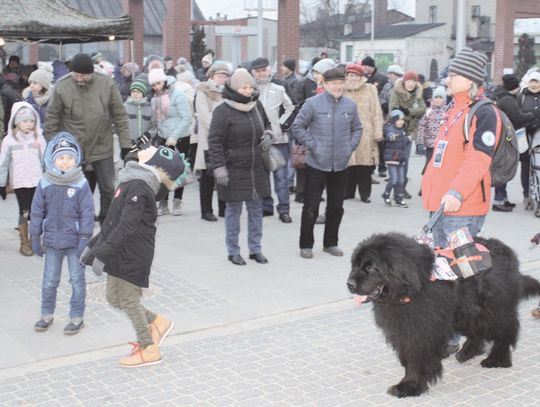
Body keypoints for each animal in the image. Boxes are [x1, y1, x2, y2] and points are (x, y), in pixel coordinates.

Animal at [346, 233, 540, 398]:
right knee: (478, 330)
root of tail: (507, 251)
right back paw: (467, 352)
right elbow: (409, 358)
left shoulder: (420, 331)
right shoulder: (405, 331)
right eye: (354, 265)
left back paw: (497, 359)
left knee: (506, 331)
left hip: (496, 308)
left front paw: (409, 386)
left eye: (371, 267)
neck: (413, 288)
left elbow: (416, 359)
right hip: (467, 310)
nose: (349, 284)